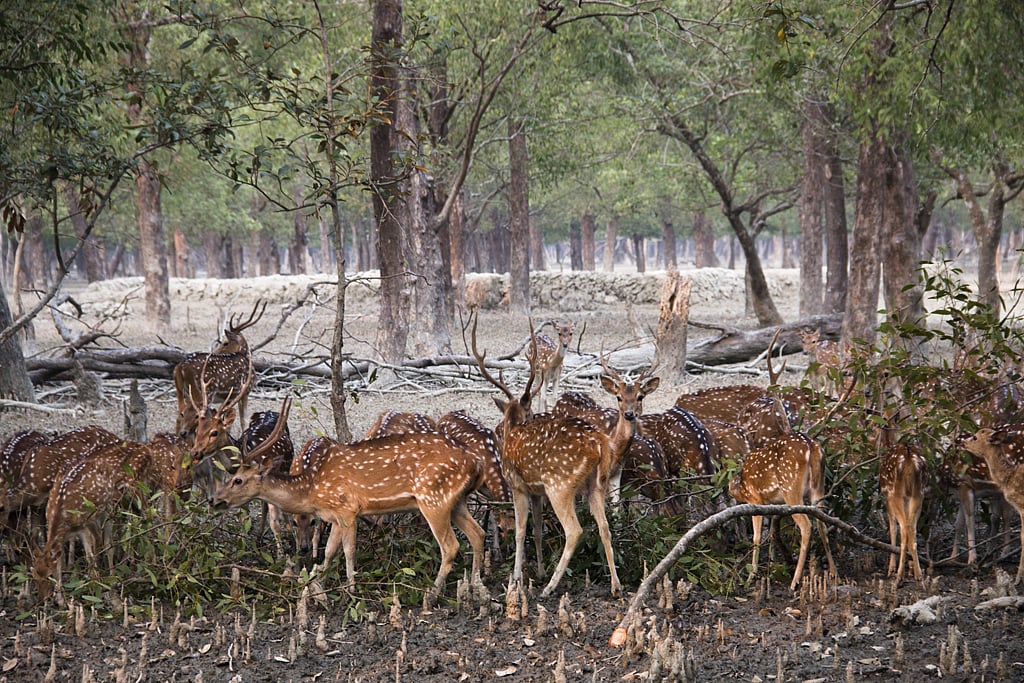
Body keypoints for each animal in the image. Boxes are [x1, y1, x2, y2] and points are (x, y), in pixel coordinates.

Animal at [174, 300, 266, 437]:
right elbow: (243, 420)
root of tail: (180, 367)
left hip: (180, 390)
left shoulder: (231, 397)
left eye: (225, 342)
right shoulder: (245, 391)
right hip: (203, 391)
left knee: (179, 416)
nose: (213, 352)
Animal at [212, 398, 486, 596]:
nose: (215, 500)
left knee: (451, 546)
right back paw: (475, 586)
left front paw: (351, 588)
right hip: (456, 501)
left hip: (433, 498)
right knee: (478, 534)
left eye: (238, 480)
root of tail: (476, 463)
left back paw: (433, 592)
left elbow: (348, 550)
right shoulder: (333, 515)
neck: (312, 489)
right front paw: (318, 582)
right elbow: (329, 550)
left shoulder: (348, 508)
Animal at [473, 316, 634, 598]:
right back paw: (615, 586)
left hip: (560, 484)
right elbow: (537, 530)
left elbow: (520, 530)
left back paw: (550, 587)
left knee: (575, 530)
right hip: (596, 484)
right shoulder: (536, 490)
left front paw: (517, 578)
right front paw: (537, 571)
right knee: (604, 526)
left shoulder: (517, 484)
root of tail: (600, 443)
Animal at [728, 431, 837, 591]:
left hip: (791, 487)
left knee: (806, 526)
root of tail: (811, 446)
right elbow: (773, 531)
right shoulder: (775, 505)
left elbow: (757, 537)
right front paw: (772, 563)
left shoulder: (755, 500)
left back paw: (795, 581)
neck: (742, 486)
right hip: (818, 487)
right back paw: (834, 572)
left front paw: (752, 575)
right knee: (822, 524)